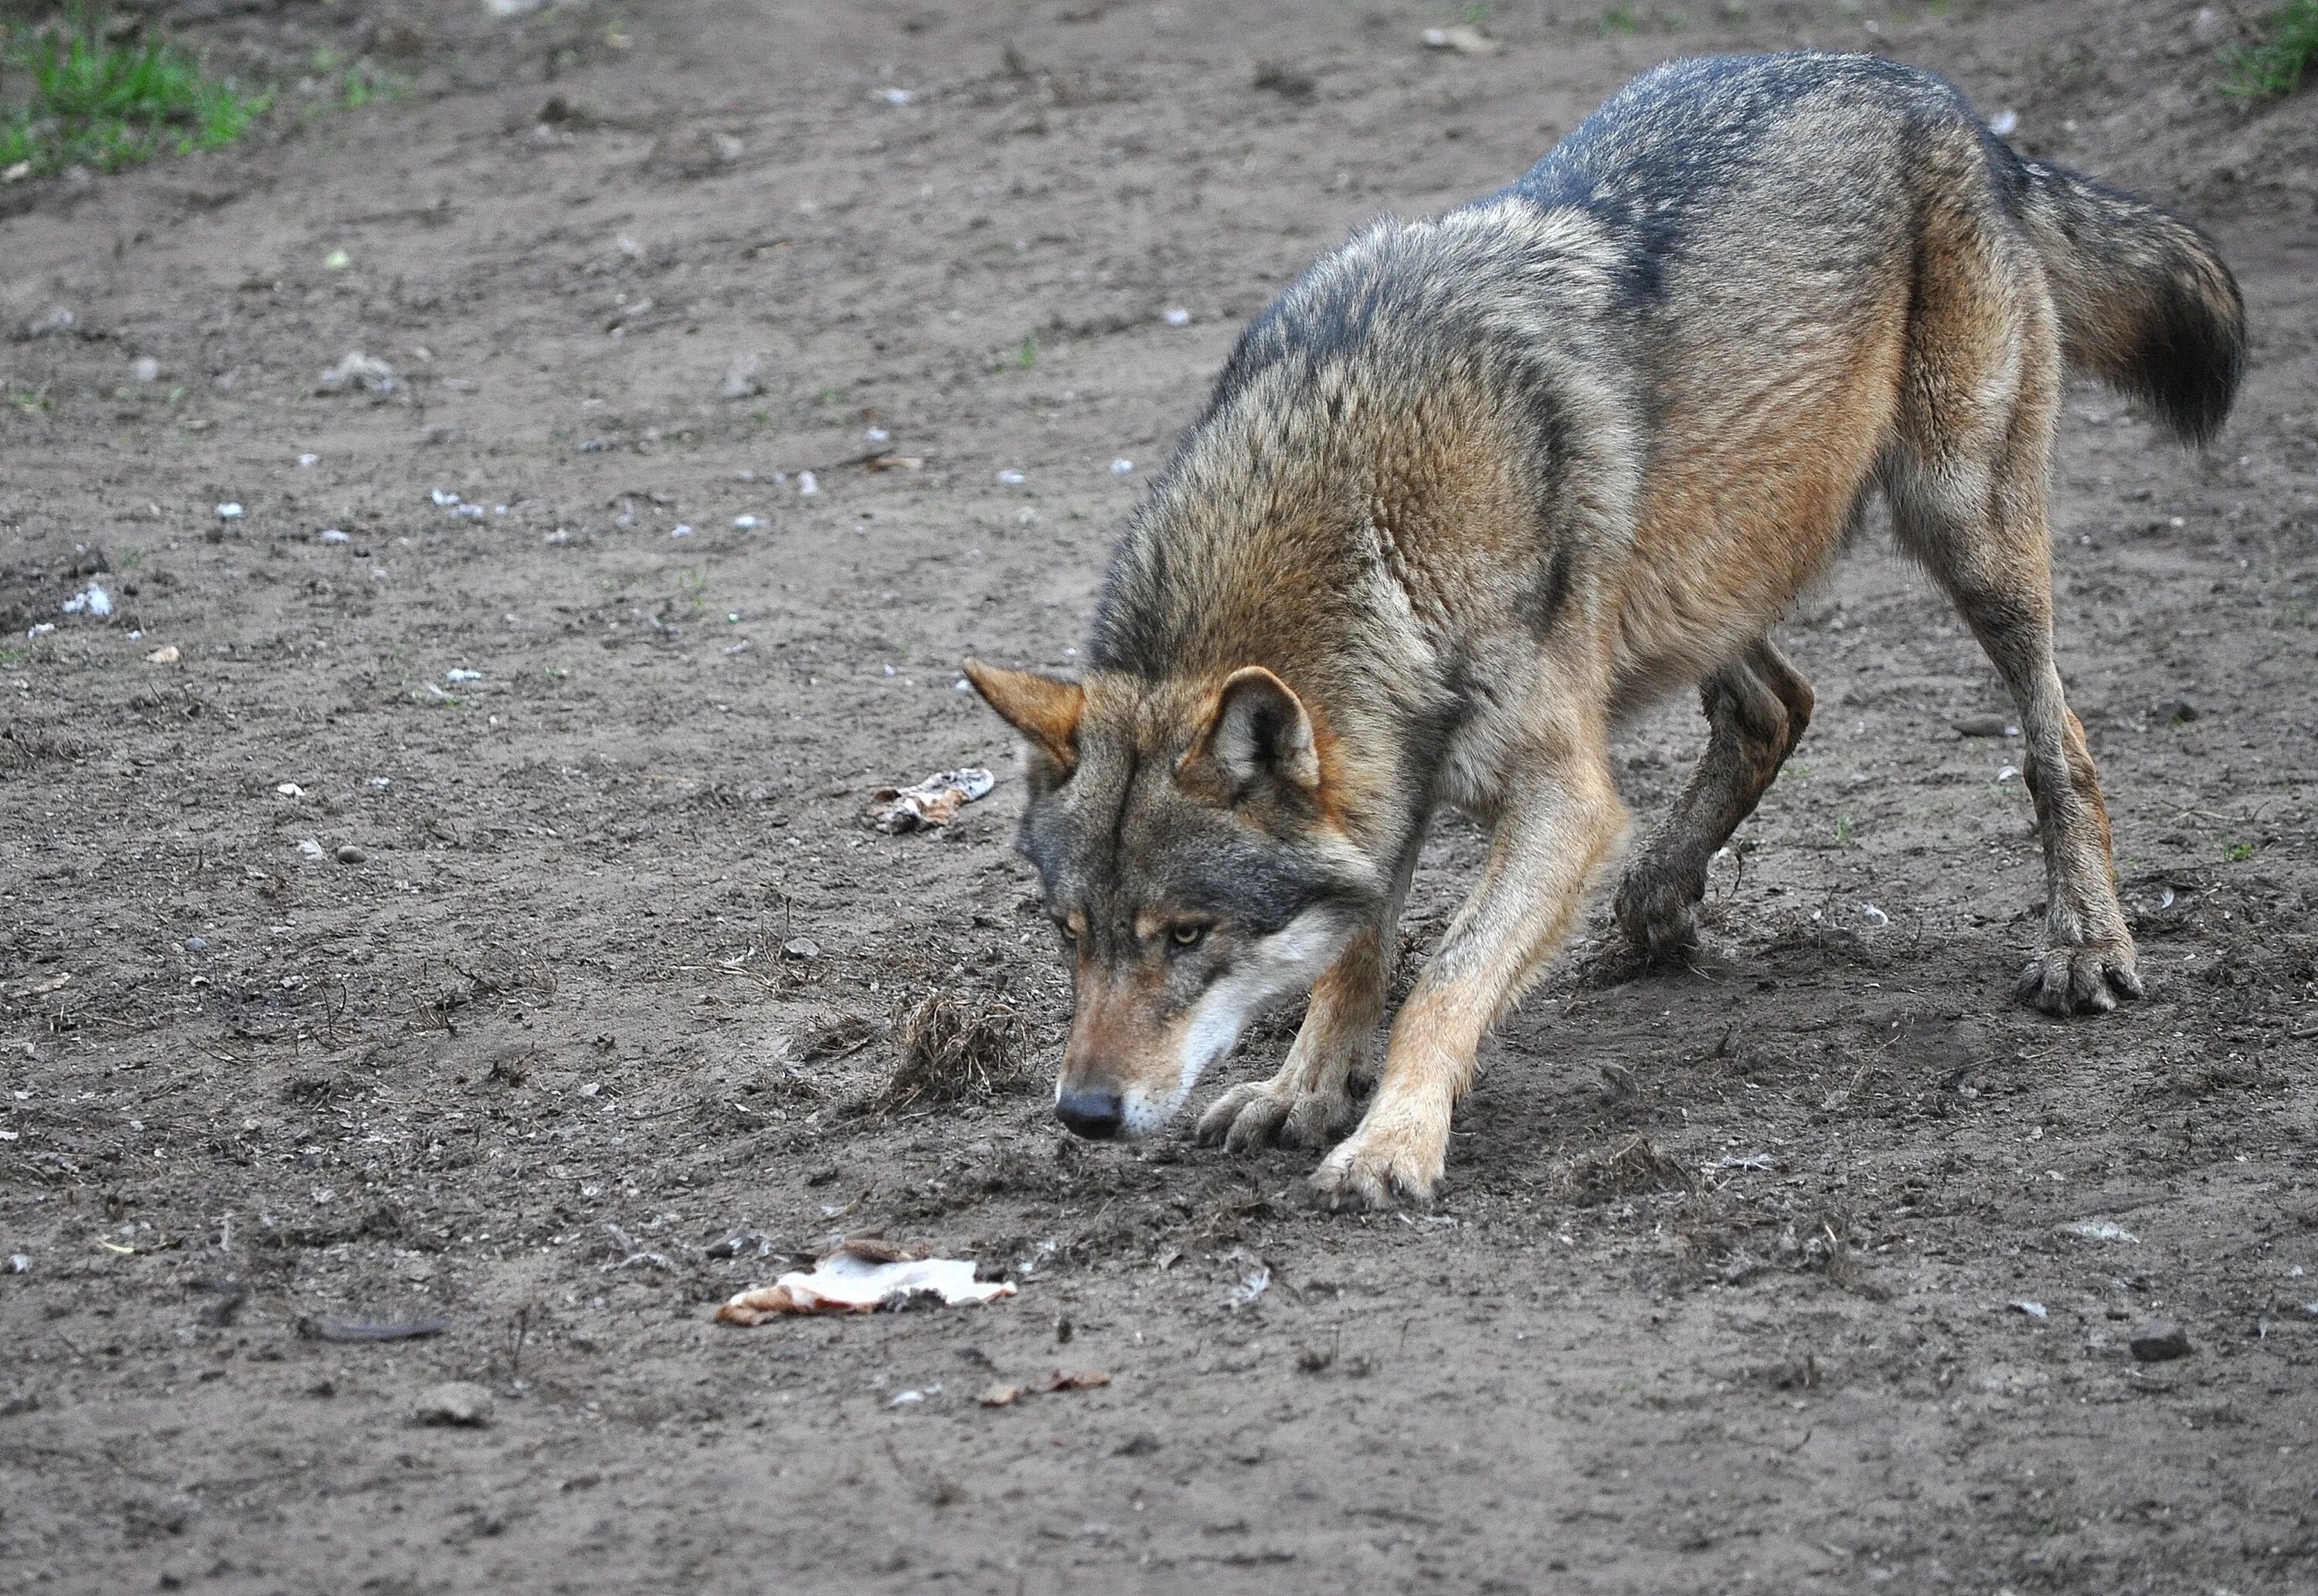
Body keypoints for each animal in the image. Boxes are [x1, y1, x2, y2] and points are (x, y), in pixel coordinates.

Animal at [960, 53, 2244, 1204]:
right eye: (1069, 932)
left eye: (1186, 935)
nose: (1084, 1112)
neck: (1369, 520)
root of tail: (1947, 103)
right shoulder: (1397, 782)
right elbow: (1356, 954)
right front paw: (1305, 1091)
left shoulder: (1562, 795)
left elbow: (1443, 977)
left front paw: (1389, 1142)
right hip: (1696, 578)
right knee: (1777, 707)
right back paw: (1659, 901)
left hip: (1964, 532)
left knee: (2056, 738)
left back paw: (2087, 945)